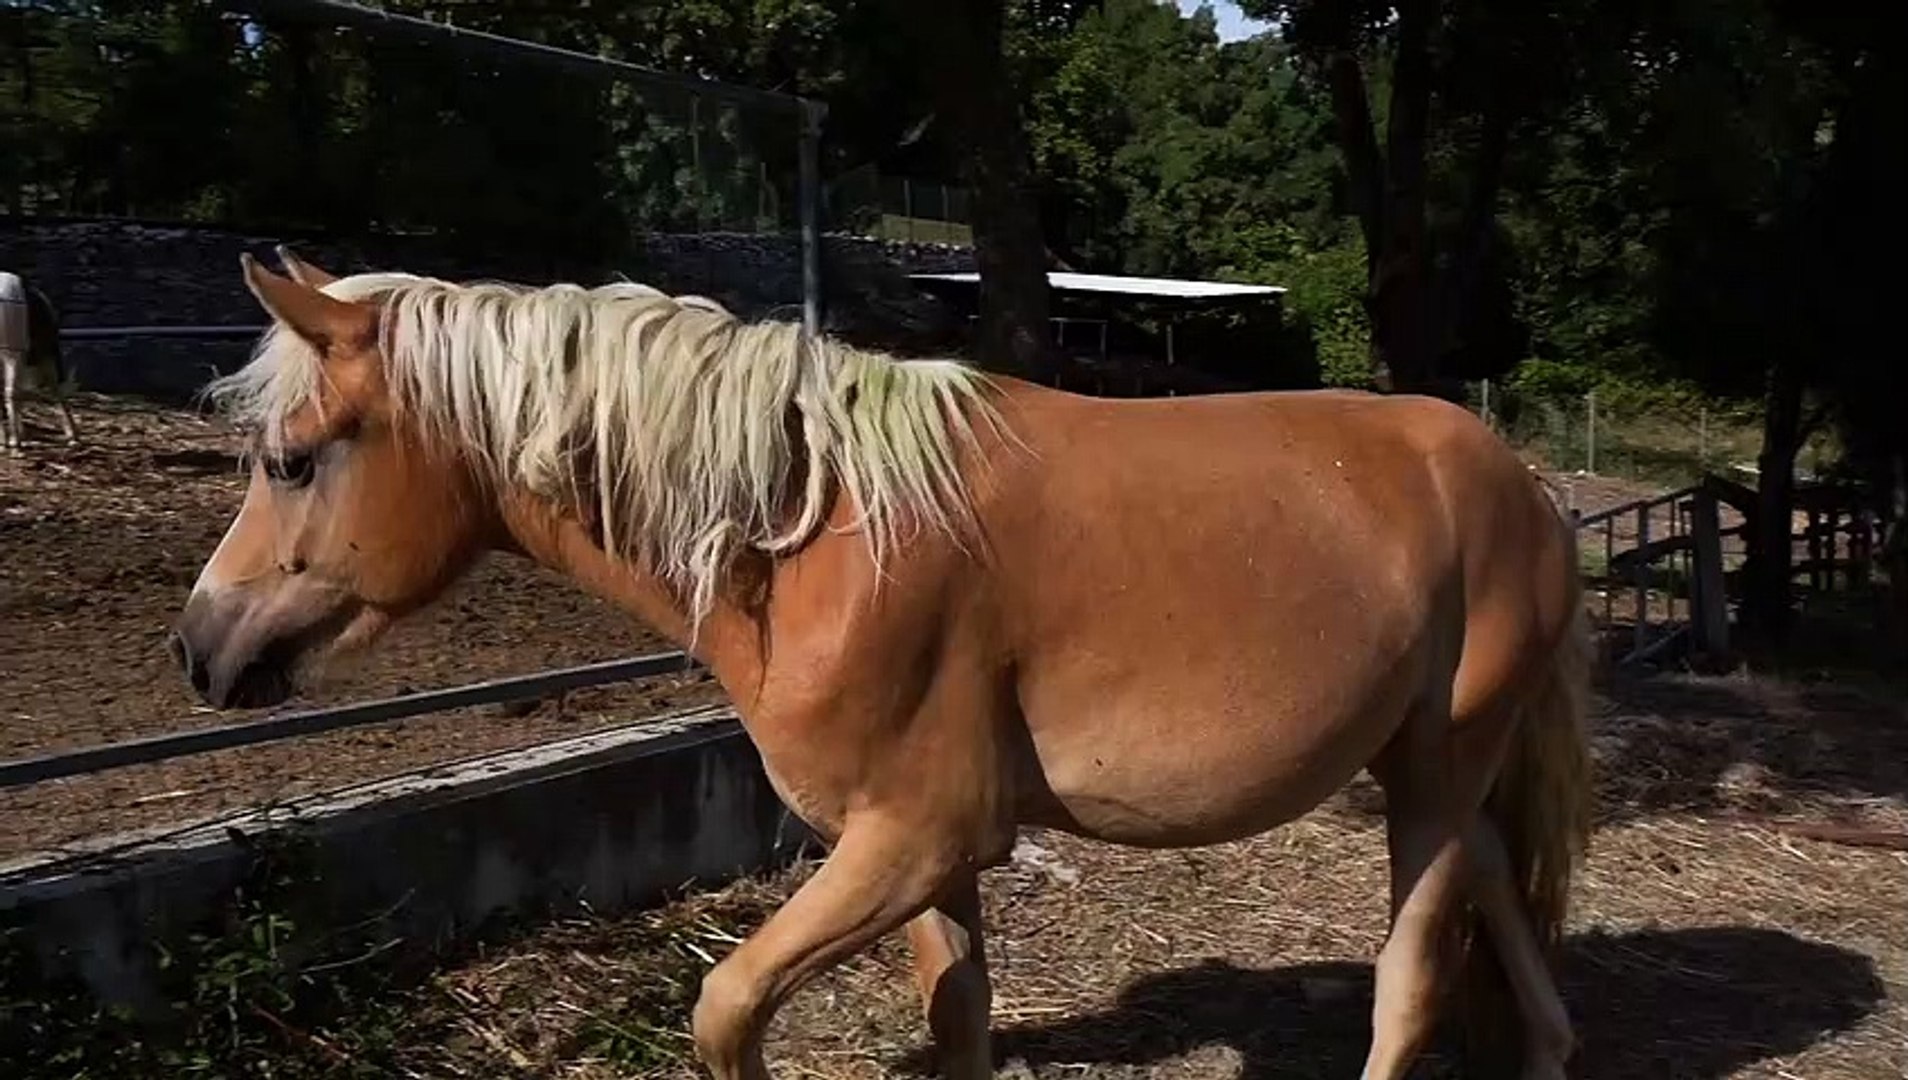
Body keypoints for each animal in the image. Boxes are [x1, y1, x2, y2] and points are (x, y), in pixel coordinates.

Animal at [170, 247, 1593, 1080]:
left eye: (287, 461)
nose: (198, 647)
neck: (819, 535)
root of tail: (1516, 482)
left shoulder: (914, 839)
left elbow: (726, 1008)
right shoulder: (922, 860)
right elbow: (955, 1023)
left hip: (1431, 779)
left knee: (1410, 987)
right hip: (1428, 775)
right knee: (1506, 909)